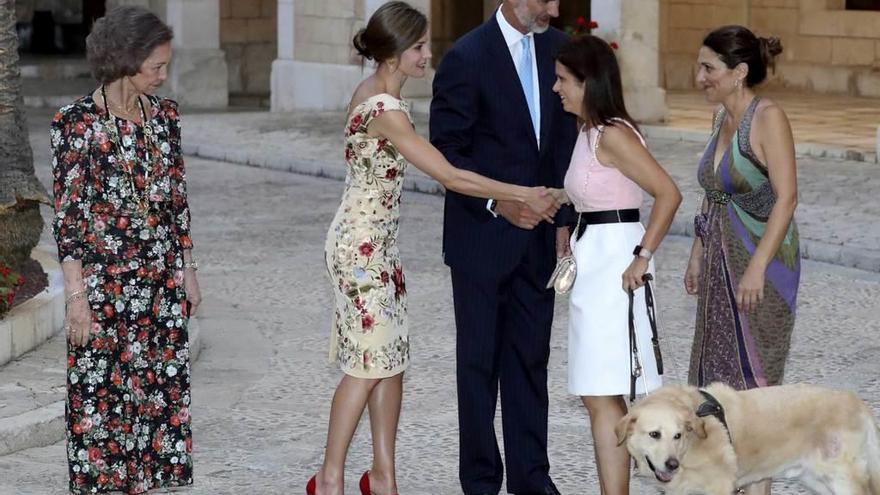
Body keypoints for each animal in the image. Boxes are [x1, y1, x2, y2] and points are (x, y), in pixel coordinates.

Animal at [616, 384, 880, 495]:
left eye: (677, 435)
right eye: (654, 434)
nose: (672, 464)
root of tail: (857, 402)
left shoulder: (719, 489)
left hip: (844, 481)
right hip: (818, 482)